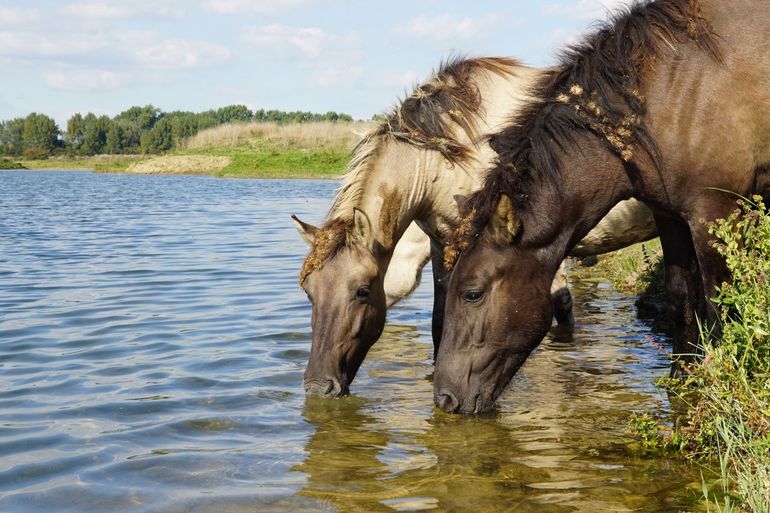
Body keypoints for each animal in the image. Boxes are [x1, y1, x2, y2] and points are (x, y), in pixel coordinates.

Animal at [294, 58, 656, 398]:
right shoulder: (444, 245)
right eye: (309, 292)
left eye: (362, 291)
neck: (451, 158)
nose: (318, 386)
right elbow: (442, 325)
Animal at [432, 0, 768, 414]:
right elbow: (680, 292)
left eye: (473, 293)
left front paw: (722, 386)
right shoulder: (671, 217)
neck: (666, 96)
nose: (444, 398)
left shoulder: (714, 213)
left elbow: (719, 299)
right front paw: (681, 377)